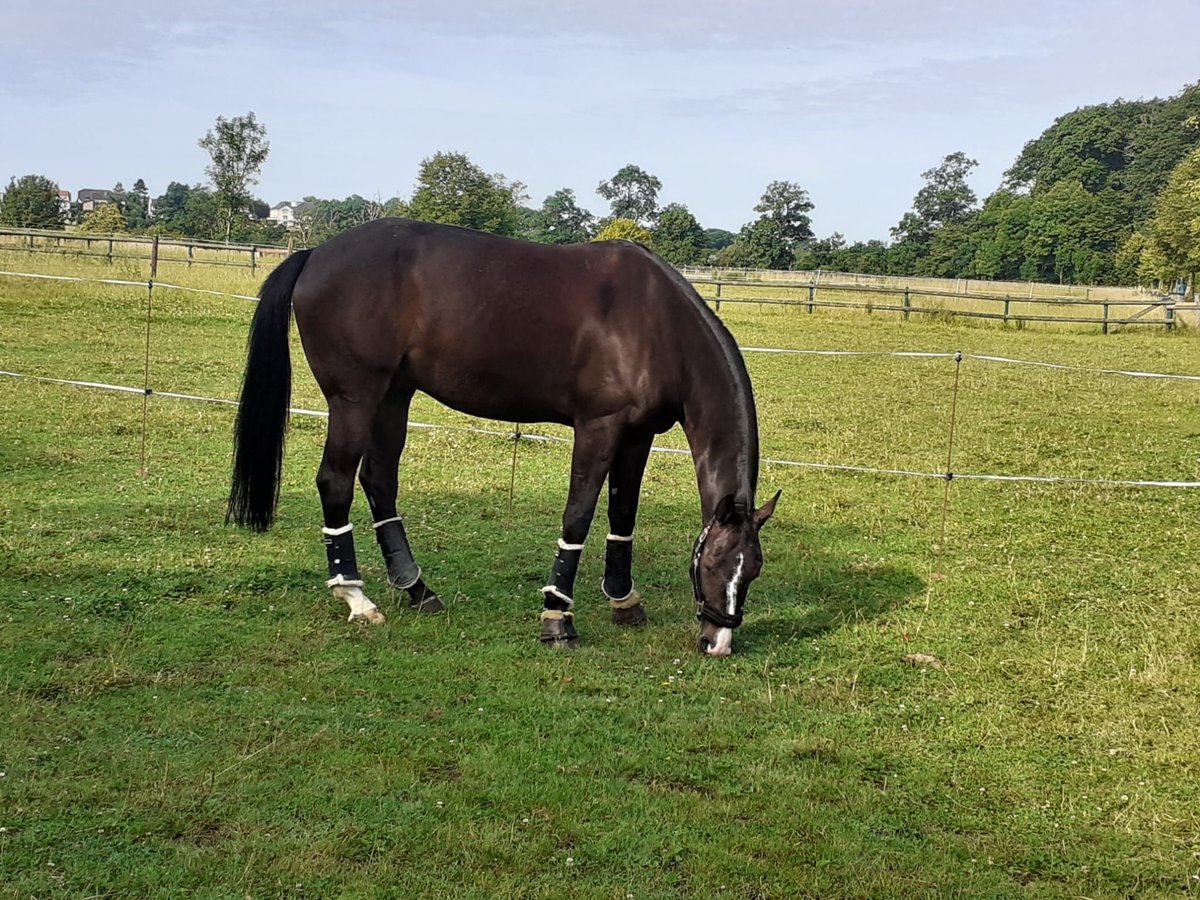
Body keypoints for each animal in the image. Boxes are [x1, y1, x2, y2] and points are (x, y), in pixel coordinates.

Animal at [227, 217, 779, 656]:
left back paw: (417, 590)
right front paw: (557, 618)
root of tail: (314, 254)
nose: (718, 643)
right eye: (715, 564)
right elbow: (578, 516)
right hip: (355, 399)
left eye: (752, 571)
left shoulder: (638, 434)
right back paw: (357, 598)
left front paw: (624, 601)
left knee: (379, 480)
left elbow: (622, 515)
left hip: (393, 396)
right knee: (336, 481)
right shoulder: (598, 428)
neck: (655, 321)